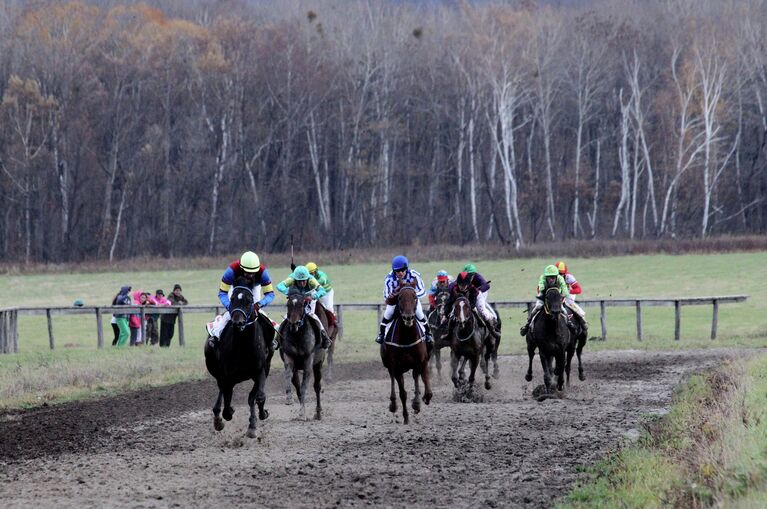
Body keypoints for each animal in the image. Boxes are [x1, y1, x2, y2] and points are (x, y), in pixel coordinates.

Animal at [380, 284, 432, 422]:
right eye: (399, 298)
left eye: (414, 297)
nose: (408, 317)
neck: (407, 337)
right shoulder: (396, 367)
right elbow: (403, 393)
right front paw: (406, 416)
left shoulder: (421, 362)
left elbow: (423, 382)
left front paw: (419, 401)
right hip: (390, 365)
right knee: (393, 379)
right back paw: (393, 404)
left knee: (419, 376)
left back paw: (420, 399)